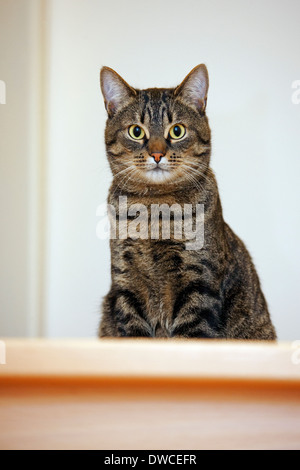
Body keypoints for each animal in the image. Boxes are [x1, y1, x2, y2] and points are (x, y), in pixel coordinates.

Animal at [98, 64, 276, 340]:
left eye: (177, 130)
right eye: (136, 131)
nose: (157, 154)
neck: (154, 211)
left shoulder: (198, 282)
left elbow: (190, 335)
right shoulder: (126, 284)